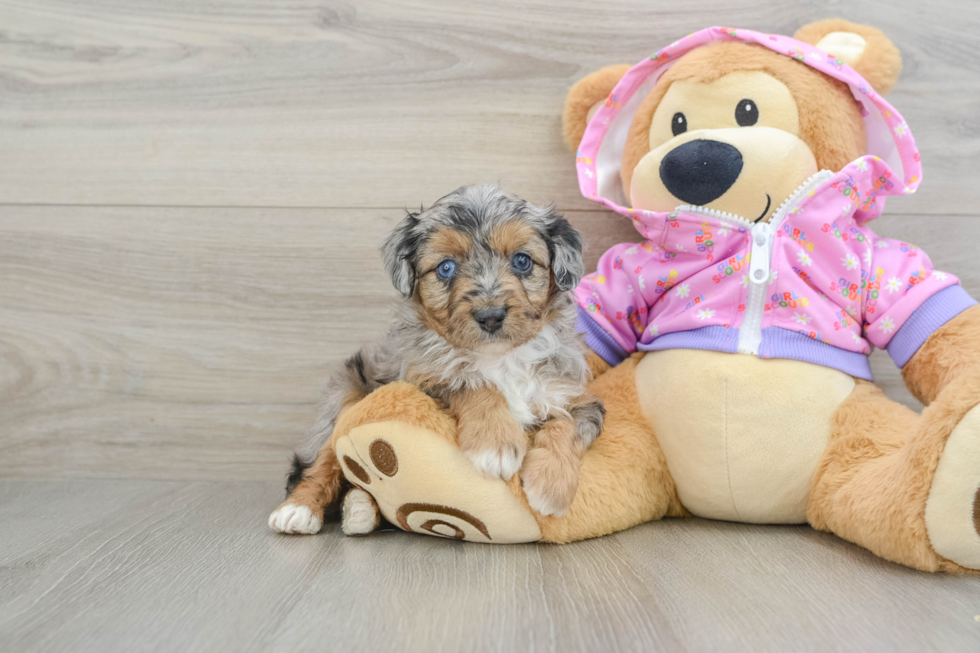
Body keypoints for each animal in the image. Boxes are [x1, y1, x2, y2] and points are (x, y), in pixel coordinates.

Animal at [270, 185, 604, 536]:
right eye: (446, 268)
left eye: (522, 261)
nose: (490, 316)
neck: (500, 358)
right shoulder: (420, 378)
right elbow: (472, 383)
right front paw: (495, 445)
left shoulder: (575, 395)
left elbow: (568, 426)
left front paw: (550, 485)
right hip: (346, 398)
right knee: (323, 460)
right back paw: (299, 510)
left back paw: (360, 510)